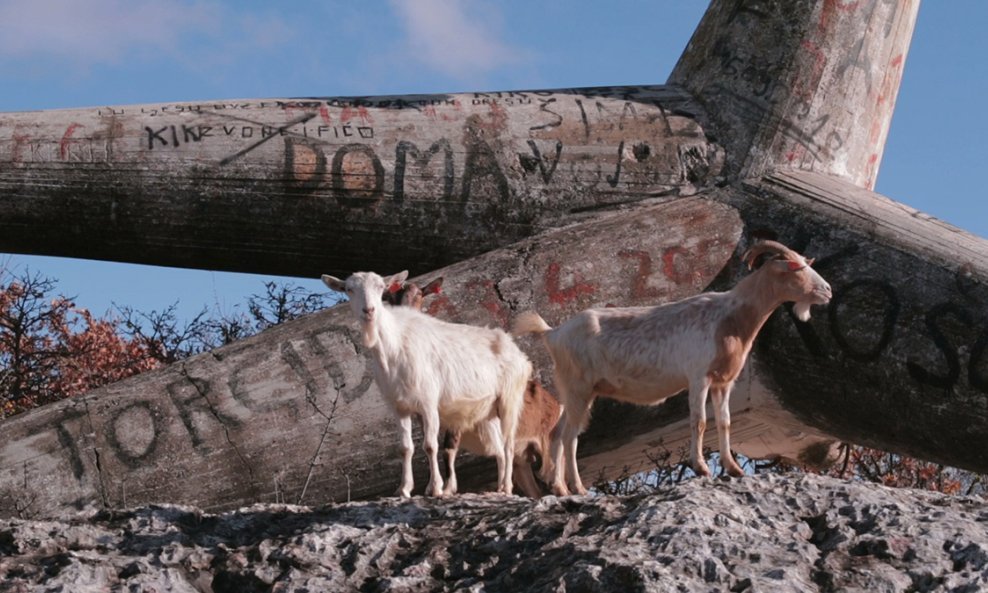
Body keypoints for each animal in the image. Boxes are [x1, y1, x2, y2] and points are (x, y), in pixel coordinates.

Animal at [322, 270, 532, 498]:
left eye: (380, 287)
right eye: (349, 289)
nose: (369, 310)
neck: (394, 346)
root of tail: (518, 353)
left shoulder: (429, 403)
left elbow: (430, 445)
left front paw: (435, 488)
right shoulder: (398, 407)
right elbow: (405, 447)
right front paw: (404, 489)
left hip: (510, 399)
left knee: (509, 445)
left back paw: (507, 487)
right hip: (487, 412)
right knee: (499, 447)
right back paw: (500, 488)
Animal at [382, 276, 560, 498]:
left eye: (420, 295)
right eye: (391, 298)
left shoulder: (457, 409)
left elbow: (448, 448)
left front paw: (446, 489)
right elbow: (425, 445)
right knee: (505, 456)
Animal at [512, 240, 828, 494]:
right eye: (795, 268)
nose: (827, 290)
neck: (729, 317)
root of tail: (553, 333)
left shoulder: (723, 381)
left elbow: (724, 422)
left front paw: (733, 468)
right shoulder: (699, 377)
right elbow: (699, 421)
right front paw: (702, 467)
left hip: (576, 392)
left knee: (558, 434)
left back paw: (560, 489)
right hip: (579, 388)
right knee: (569, 436)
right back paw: (577, 487)